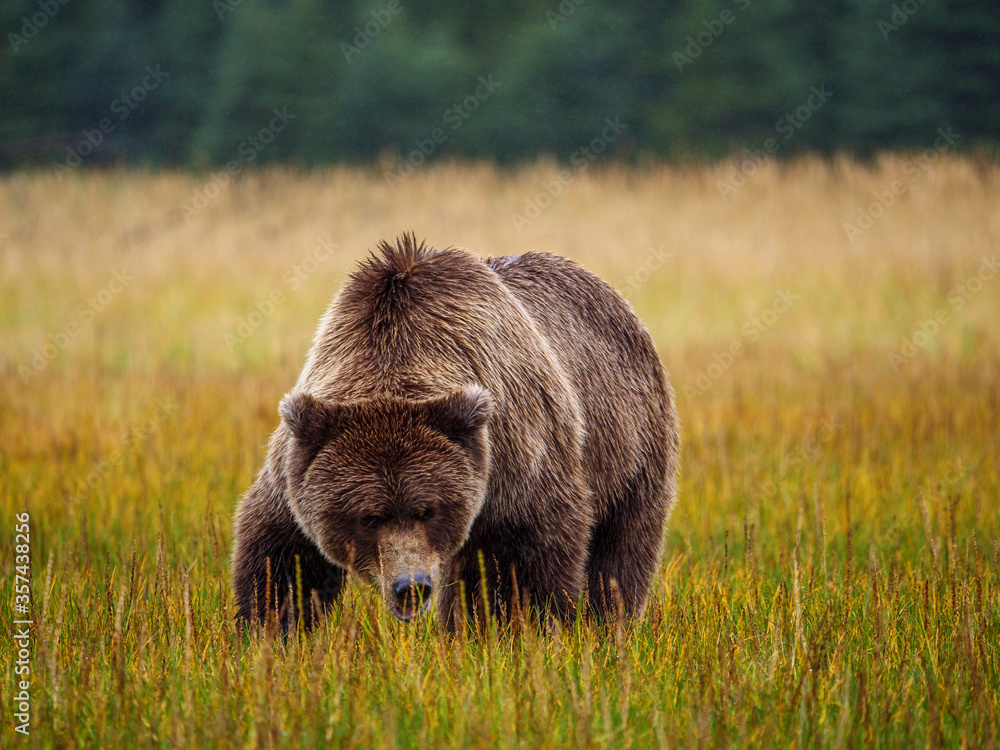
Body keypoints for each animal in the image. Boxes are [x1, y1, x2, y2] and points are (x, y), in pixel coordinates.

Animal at [230, 234, 676, 628]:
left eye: (427, 509)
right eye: (368, 517)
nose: (411, 586)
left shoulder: (516, 458)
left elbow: (525, 561)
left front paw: (523, 630)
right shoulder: (294, 468)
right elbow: (279, 556)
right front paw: (273, 629)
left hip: (630, 446)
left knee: (620, 552)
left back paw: (609, 622)